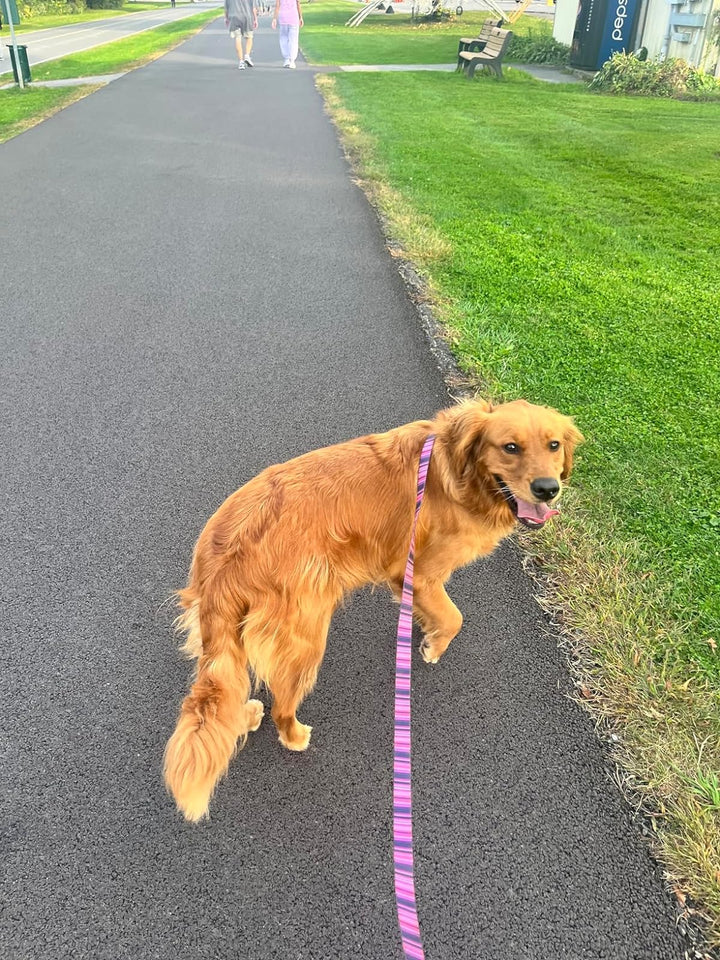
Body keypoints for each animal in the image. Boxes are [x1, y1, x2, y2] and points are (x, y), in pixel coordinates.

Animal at [163, 398, 580, 816]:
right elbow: (454, 618)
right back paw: (294, 735)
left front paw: (423, 627)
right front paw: (433, 646)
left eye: (554, 445)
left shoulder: (406, 576)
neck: (455, 470)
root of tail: (226, 553)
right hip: (305, 635)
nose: (548, 489)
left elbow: (433, 612)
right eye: (510, 447)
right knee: (282, 706)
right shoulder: (421, 572)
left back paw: (247, 714)